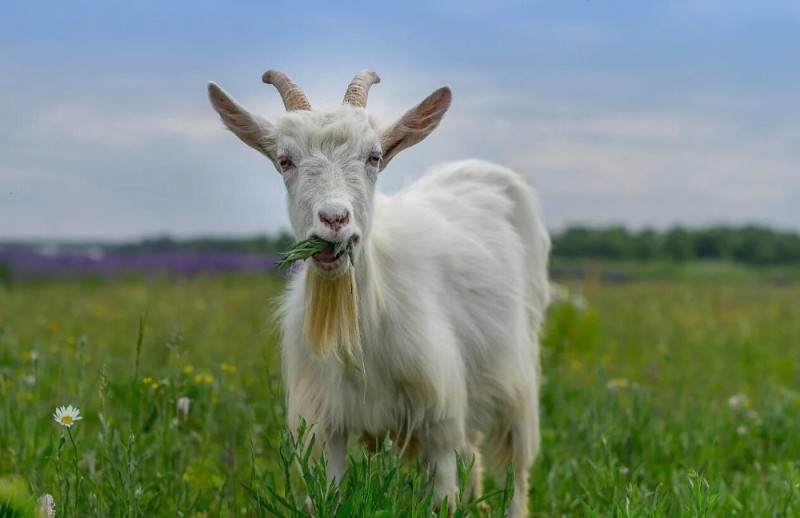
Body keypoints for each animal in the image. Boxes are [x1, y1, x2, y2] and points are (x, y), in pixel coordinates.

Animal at [208, 70, 552, 518]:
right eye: (285, 160)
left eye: (373, 157)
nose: (334, 219)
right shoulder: (327, 423)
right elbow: (330, 498)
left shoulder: (437, 417)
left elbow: (443, 500)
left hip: (515, 379)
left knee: (515, 471)